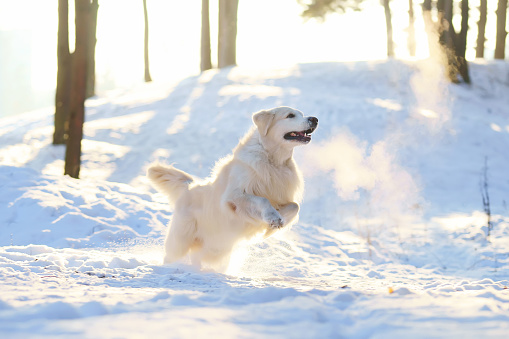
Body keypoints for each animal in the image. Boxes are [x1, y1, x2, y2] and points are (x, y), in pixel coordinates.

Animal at [145, 106, 318, 270]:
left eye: (301, 114)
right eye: (290, 115)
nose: (315, 119)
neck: (273, 162)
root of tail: (189, 186)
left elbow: (294, 206)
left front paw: (273, 226)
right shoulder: (234, 197)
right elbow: (262, 200)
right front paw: (273, 218)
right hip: (181, 240)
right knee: (171, 255)